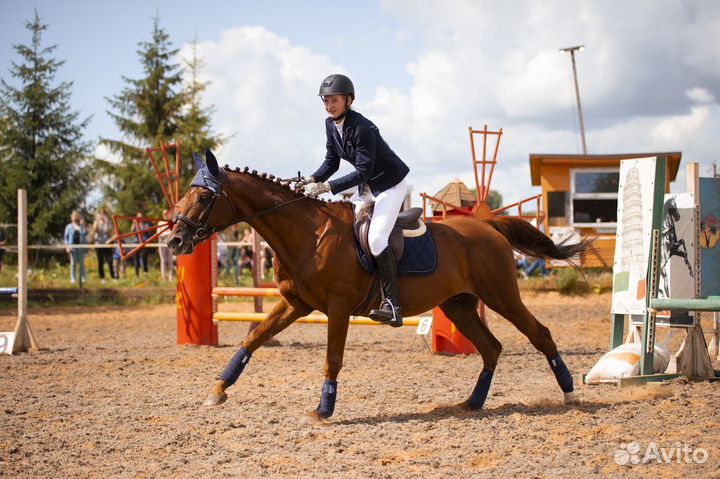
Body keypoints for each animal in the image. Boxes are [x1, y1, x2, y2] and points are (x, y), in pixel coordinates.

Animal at [167, 149, 592, 420]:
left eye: (203, 197)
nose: (174, 241)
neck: (308, 235)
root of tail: (487, 225)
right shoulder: (295, 304)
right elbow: (252, 339)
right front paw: (218, 390)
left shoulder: (337, 308)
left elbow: (332, 358)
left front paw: (323, 410)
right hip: (458, 304)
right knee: (491, 348)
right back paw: (472, 403)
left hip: (501, 295)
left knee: (539, 334)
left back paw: (570, 392)